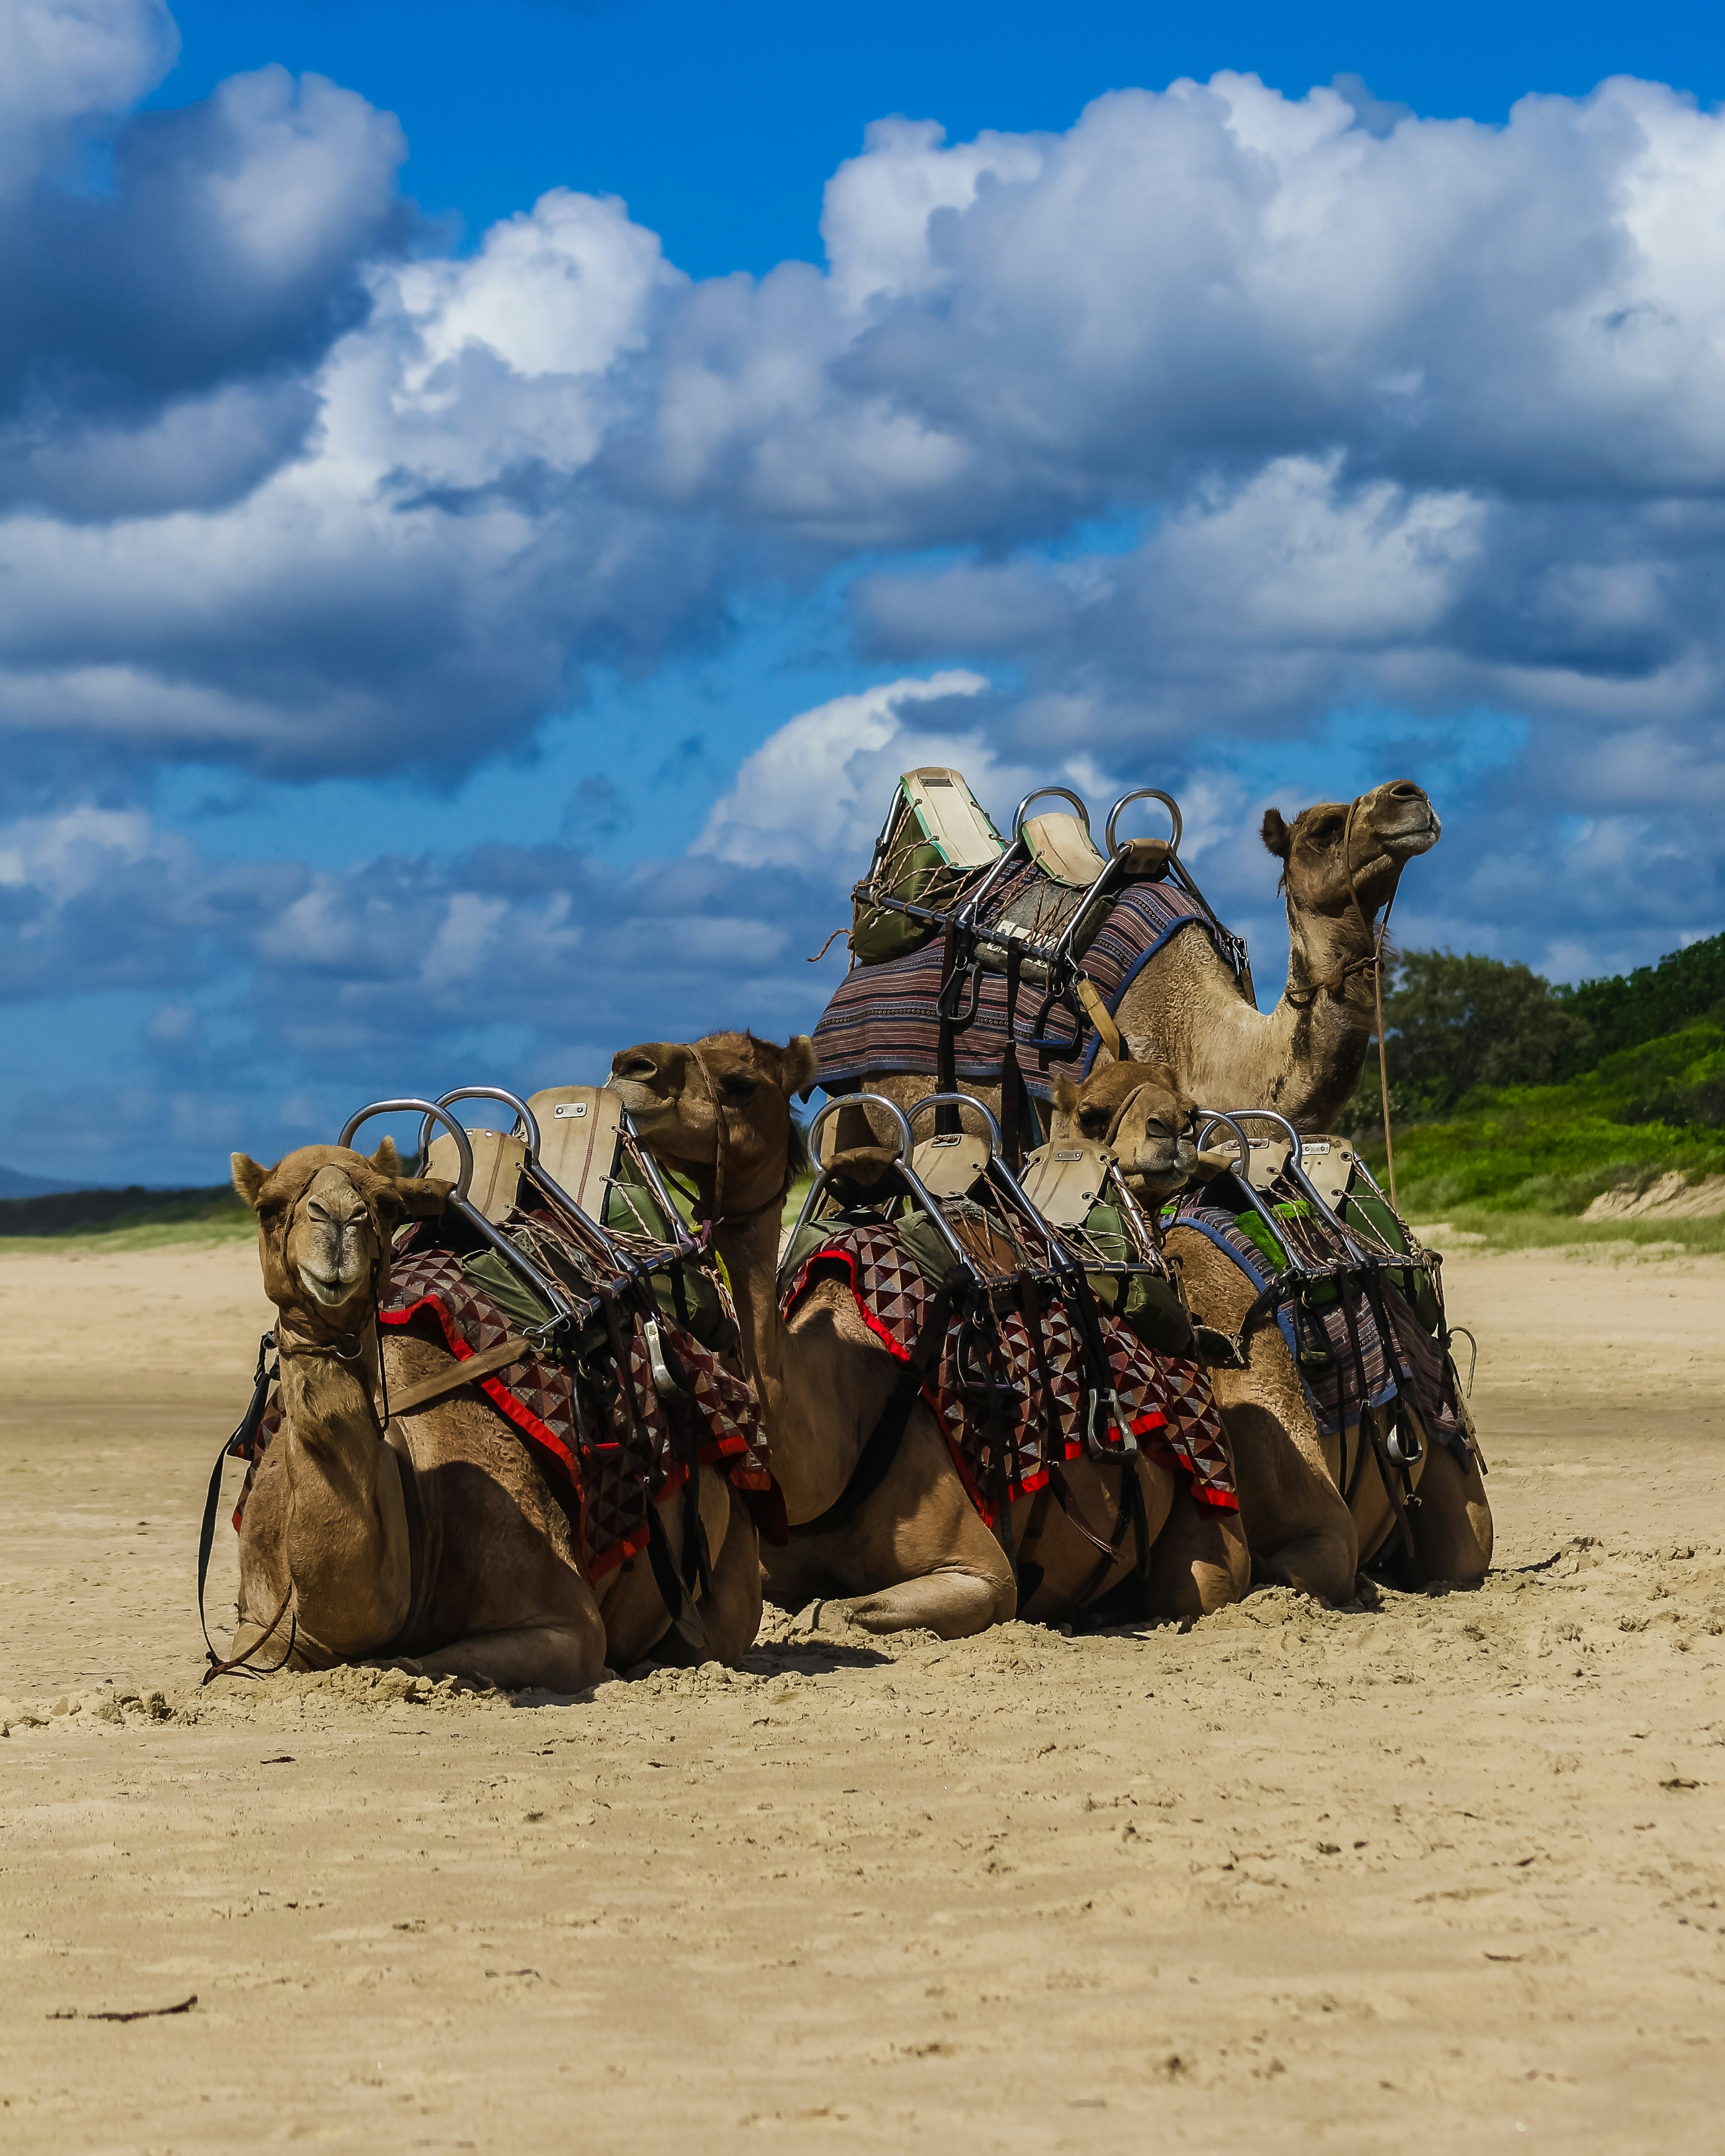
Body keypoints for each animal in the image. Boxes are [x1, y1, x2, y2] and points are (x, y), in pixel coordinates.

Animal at [223, 1139, 760, 1688]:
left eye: (387, 1205)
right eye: (267, 1207)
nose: (337, 1219)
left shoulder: (568, 1626)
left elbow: (411, 1662)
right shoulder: (260, 1623)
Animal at [1051, 1063, 1493, 1600]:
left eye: (1190, 1108)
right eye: (1089, 1114)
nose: (1171, 1126)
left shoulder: (1323, 1528)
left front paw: (1361, 1582)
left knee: (1462, 1548)